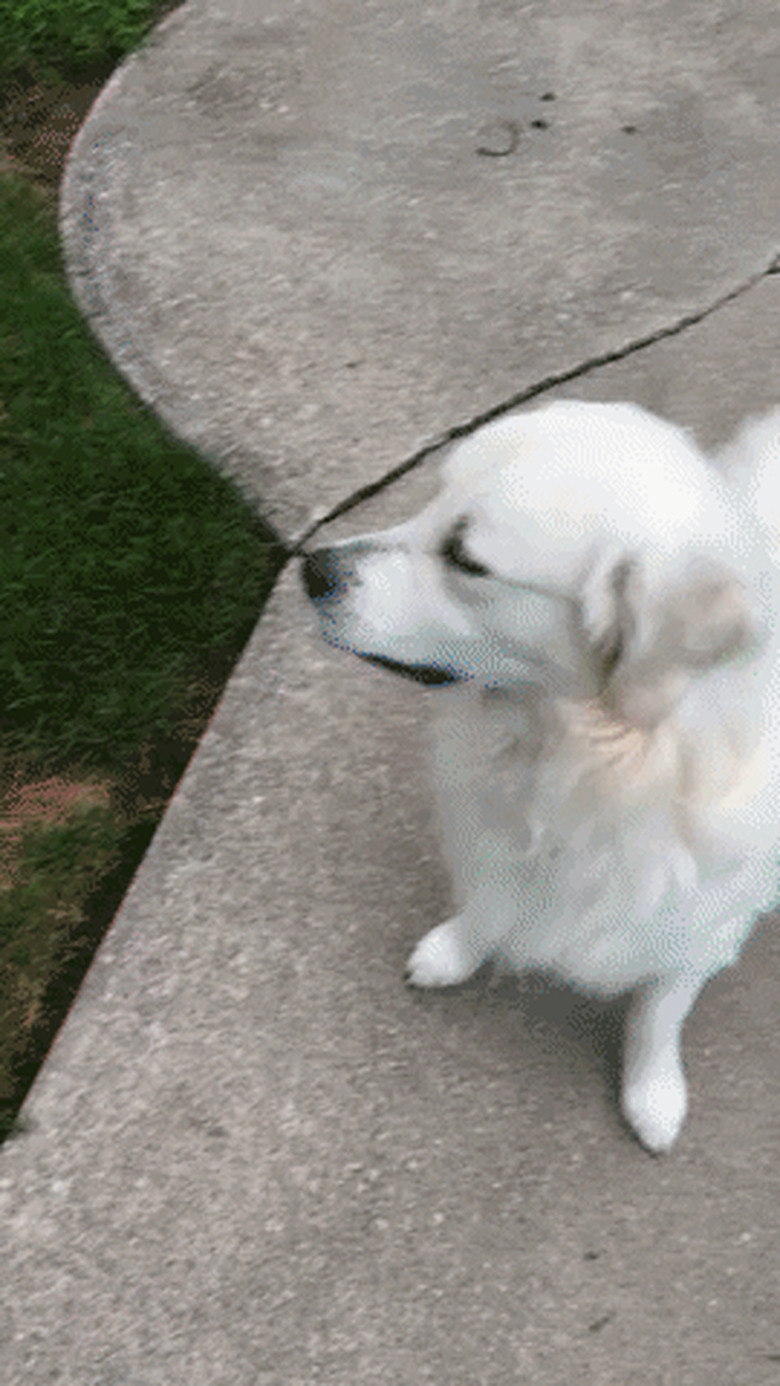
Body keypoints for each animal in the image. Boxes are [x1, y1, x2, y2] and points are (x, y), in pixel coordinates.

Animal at [300, 404, 780, 1158]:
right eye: (433, 498)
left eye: (467, 559)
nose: (310, 568)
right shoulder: (496, 830)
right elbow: (490, 902)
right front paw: (454, 950)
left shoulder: (702, 925)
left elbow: (659, 1010)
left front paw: (653, 1093)